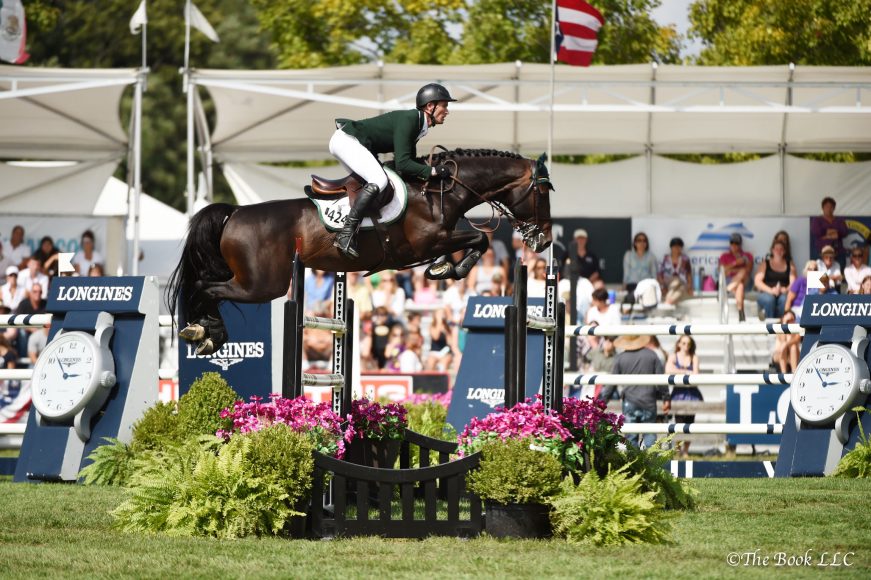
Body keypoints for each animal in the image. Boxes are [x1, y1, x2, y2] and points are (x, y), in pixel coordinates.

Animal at [167, 147, 556, 356]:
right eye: (543, 192)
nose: (545, 242)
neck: (439, 189)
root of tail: (234, 213)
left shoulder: (441, 238)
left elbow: (474, 240)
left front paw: (442, 269)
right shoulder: (428, 241)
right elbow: (479, 239)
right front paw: (451, 270)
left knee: (205, 285)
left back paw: (203, 331)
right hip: (262, 285)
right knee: (203, 286)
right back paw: (205, 332)